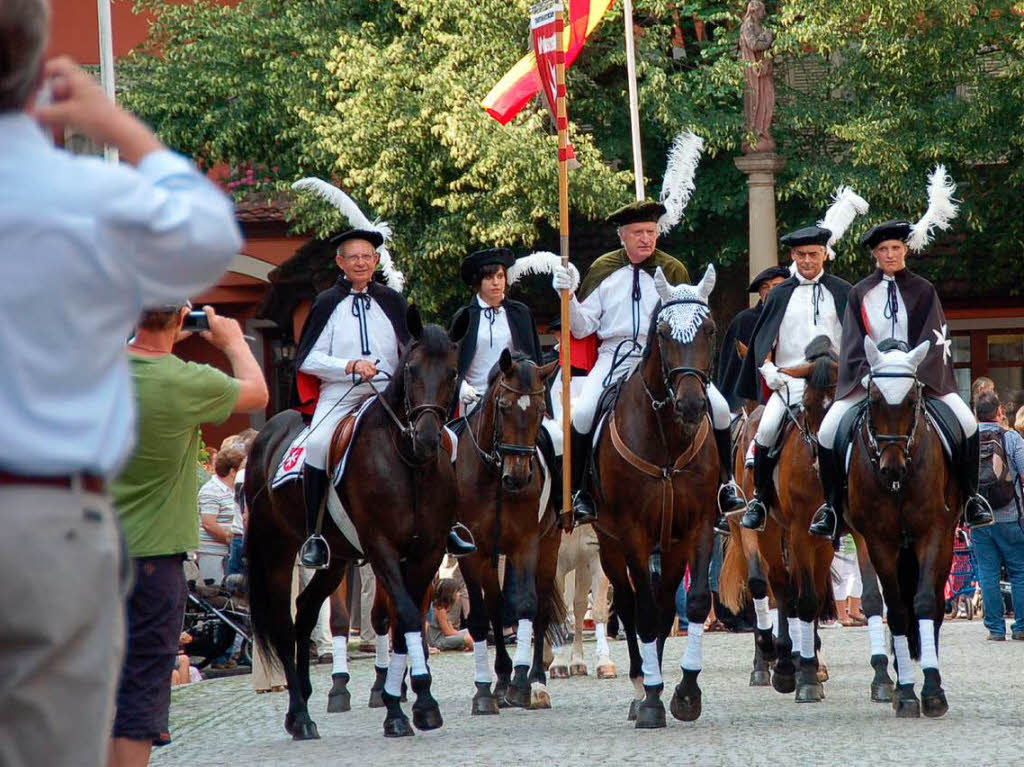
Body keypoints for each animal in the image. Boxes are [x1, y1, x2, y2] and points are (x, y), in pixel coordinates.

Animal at [245, 307, 462, 737]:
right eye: (411, 369)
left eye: (452, 372)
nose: (428, 439)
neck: (407, 462)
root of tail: (265, 435)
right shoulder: (382, 548)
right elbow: (406, 615)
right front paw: (398, 709)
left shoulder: (427, 551)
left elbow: (403, 622)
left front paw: (416, 702)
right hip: (276, 552)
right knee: (283, 624)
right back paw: (300, 715)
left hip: (336, 560)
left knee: (306, 610)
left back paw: (303, 703)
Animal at [456, 350, 569, 716]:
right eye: (503, 406)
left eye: (539, 409)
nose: (518, 477)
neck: (493, 474)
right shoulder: (471, 551)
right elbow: (481, 616)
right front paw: (484, 691)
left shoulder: (526, 544)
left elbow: (525, 605)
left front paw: (522, 684)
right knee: (494, 606)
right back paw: (501, 680)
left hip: (550, 546)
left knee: (541, 606)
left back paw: (535, 681)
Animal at [589, 266, 724, 729]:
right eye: (664, 333)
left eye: (709, 329)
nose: (691, 405)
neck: (666, 440)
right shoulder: (631, 534)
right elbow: (643, 612)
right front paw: (649, 697)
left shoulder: (699, 527)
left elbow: (693, 603)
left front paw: (686, 691)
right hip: (609, 545)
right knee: (631, 605)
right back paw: (640, 684)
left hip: (672, 546)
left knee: (665, 603)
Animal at [843, 337, 954, 716]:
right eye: (875, 400)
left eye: (910, 400)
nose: (892, 468)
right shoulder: (877, 541)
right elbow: (895, 611)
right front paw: (904, 691)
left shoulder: (934, 533)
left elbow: (923, 604)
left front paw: (933, 689)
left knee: (934, 607)